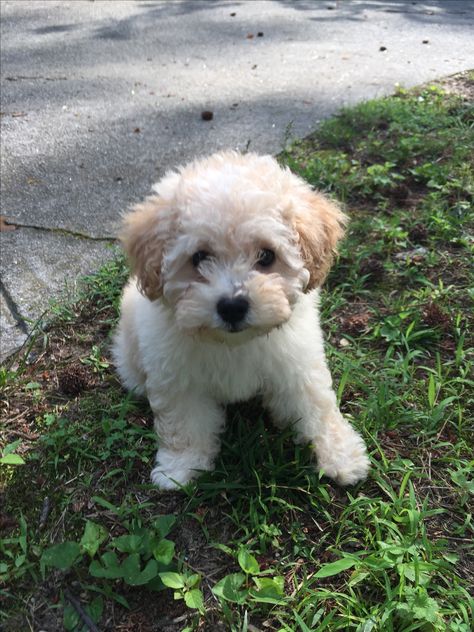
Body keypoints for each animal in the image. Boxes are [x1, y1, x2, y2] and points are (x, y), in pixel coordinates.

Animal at [112, 151, 370, 492]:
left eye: (266, 256)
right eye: (199, 257)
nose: (232, 306)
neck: (233, 342)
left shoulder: (298, 361)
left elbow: (317, 404)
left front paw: (341, 456)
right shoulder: (177, 376)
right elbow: (183, 423)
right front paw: (180, 468)